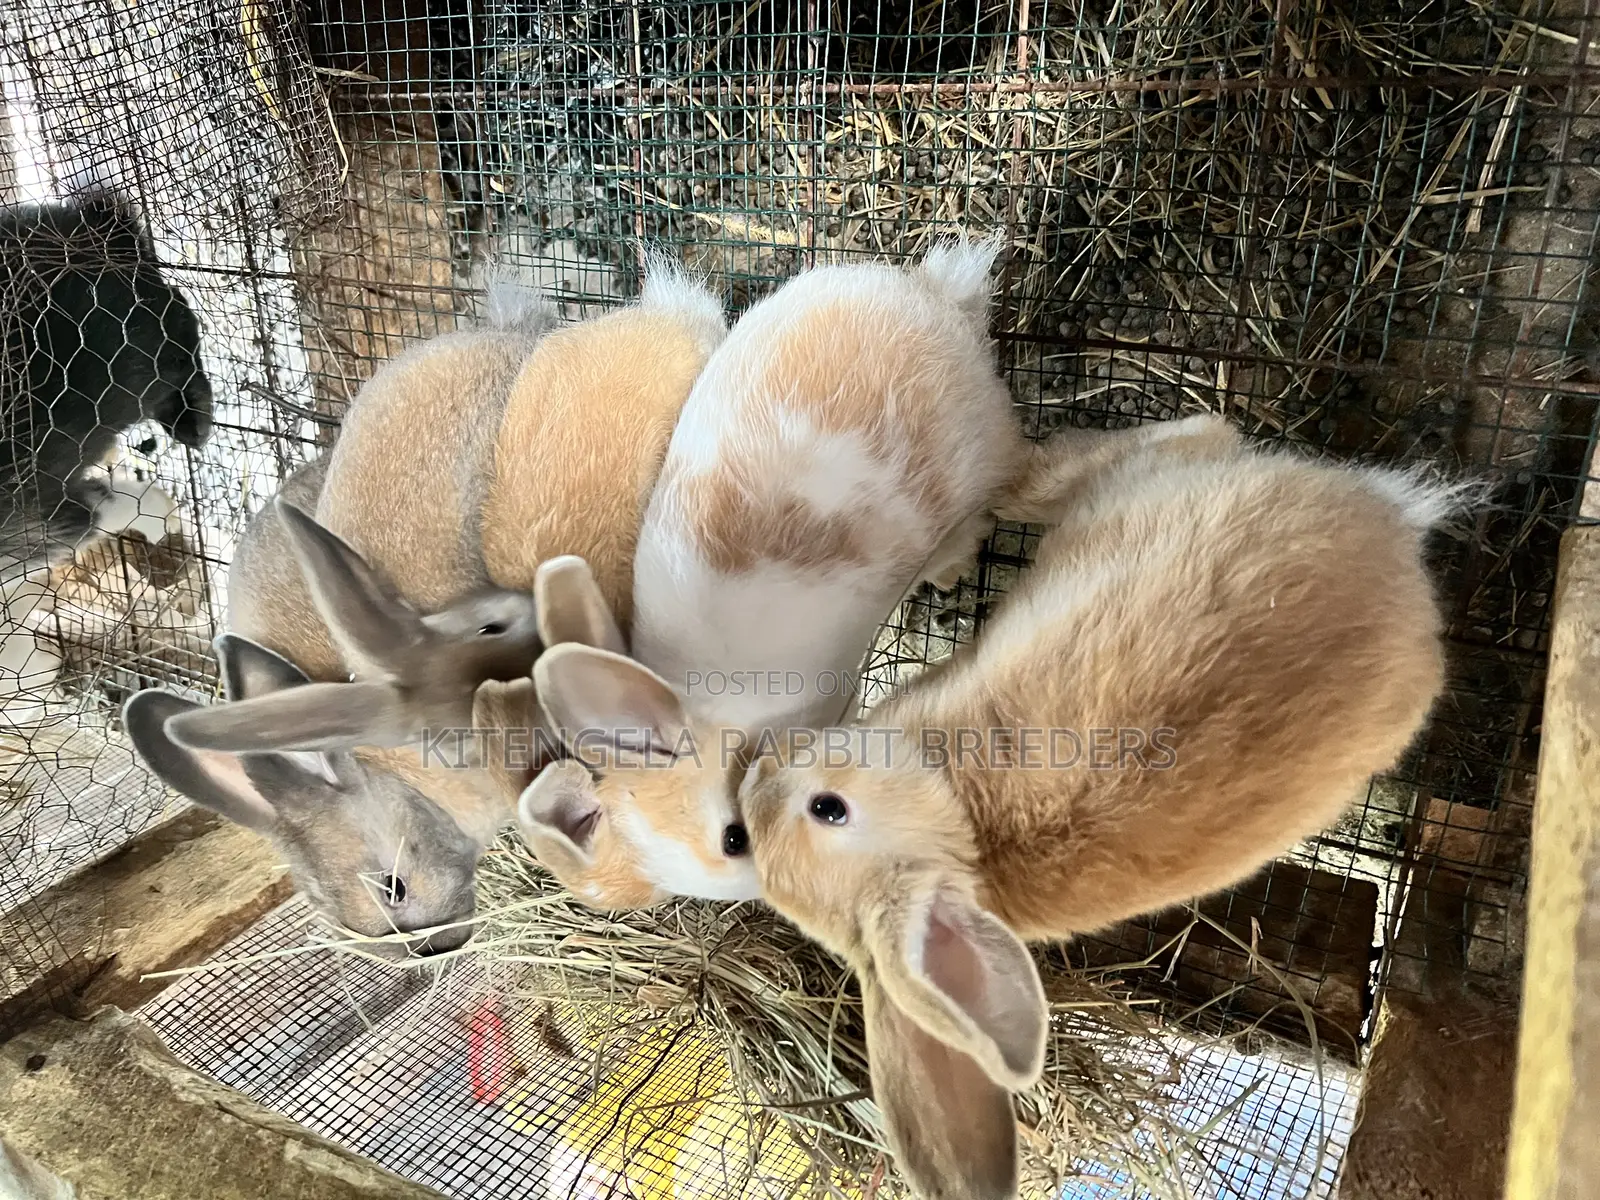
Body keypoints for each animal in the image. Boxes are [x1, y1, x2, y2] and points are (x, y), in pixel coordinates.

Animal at [0, 191, 214, 581]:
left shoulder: (30, 528)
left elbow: (103, 512)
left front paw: (162, 518)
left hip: (134, 361)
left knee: (180, 329)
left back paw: (193, 424)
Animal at [734, 412, 1465, 1200]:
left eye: (828, 809)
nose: (758, 771)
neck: (956, 815)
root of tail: (1389, 529)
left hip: (1145, 482)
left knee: (1159, 442)